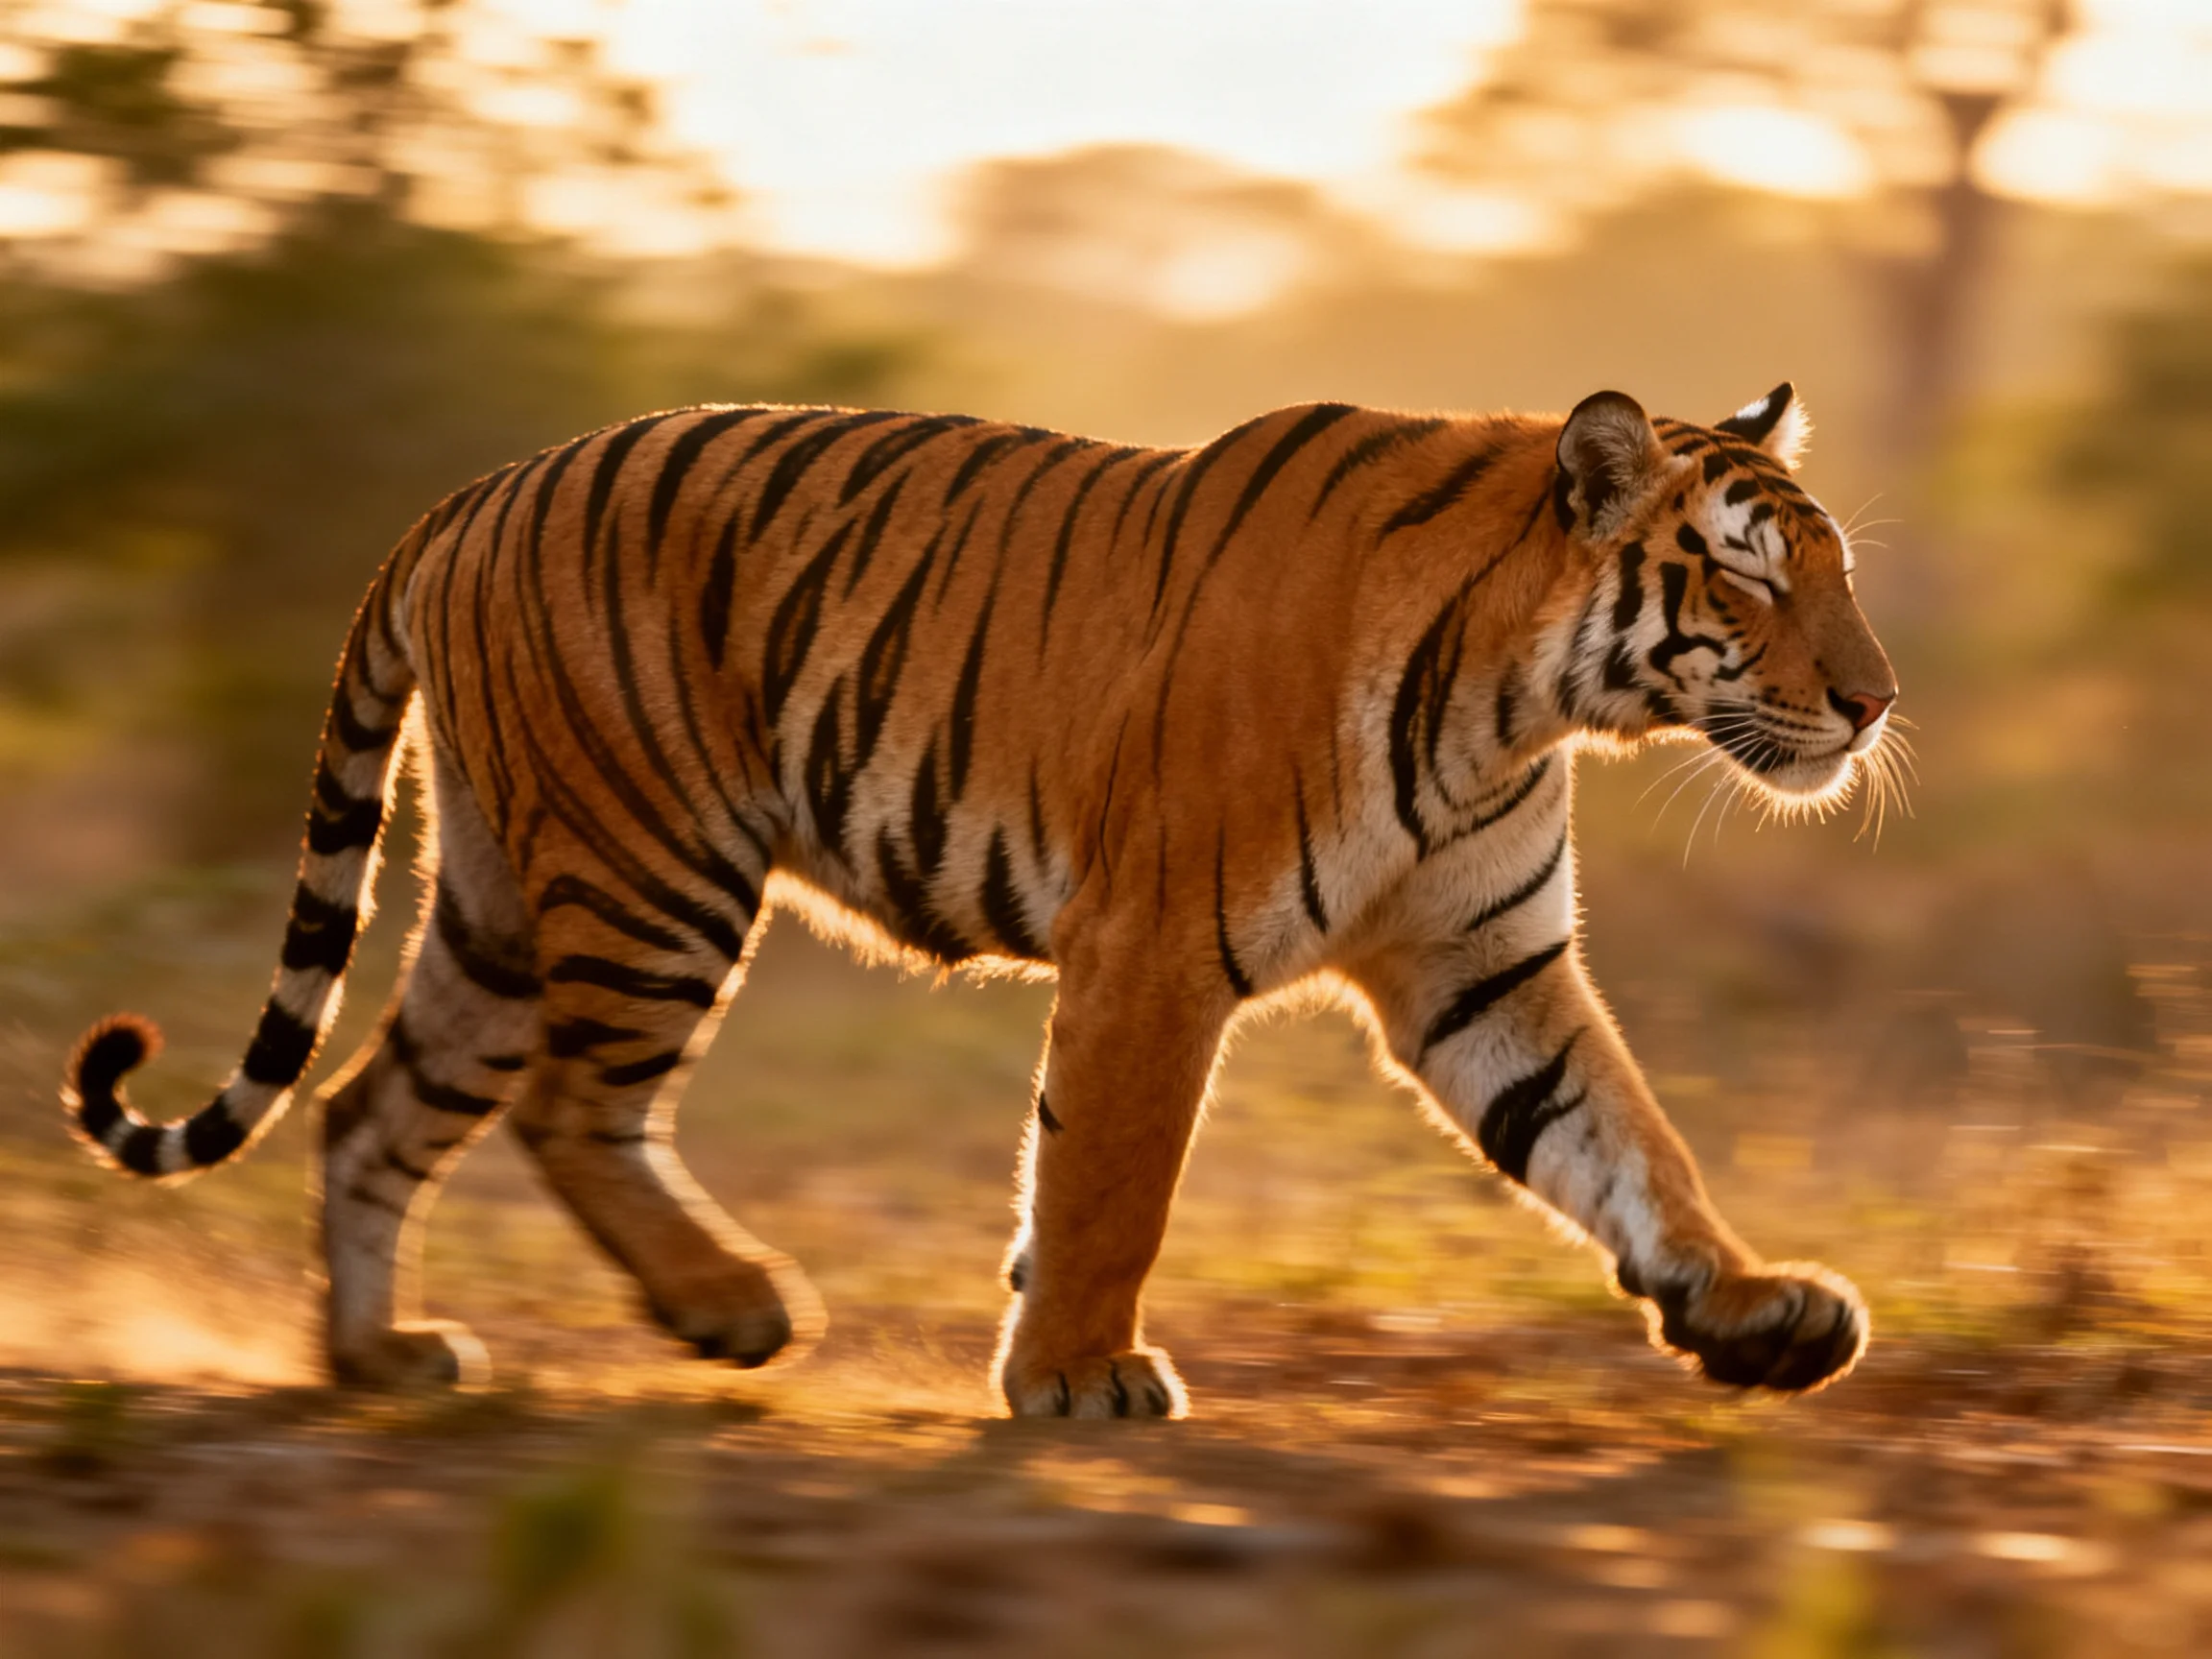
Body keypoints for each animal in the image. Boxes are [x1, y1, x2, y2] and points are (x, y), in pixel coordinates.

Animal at [64, 381, 1896, 1415]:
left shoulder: (1482, 964)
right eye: (1743, 572)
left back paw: (380, 1360)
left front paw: (1751, 1312)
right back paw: (728, 1304)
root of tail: (465, 497)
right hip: (650, 867)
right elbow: (1108, 1183)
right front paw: (1077, 1375)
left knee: (372, 1106)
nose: (1875, 701)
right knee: (571, 1106)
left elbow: (1624, 1139)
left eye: (1836, 570)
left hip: (505, 902)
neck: (1522, 700)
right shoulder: (1154, 948)